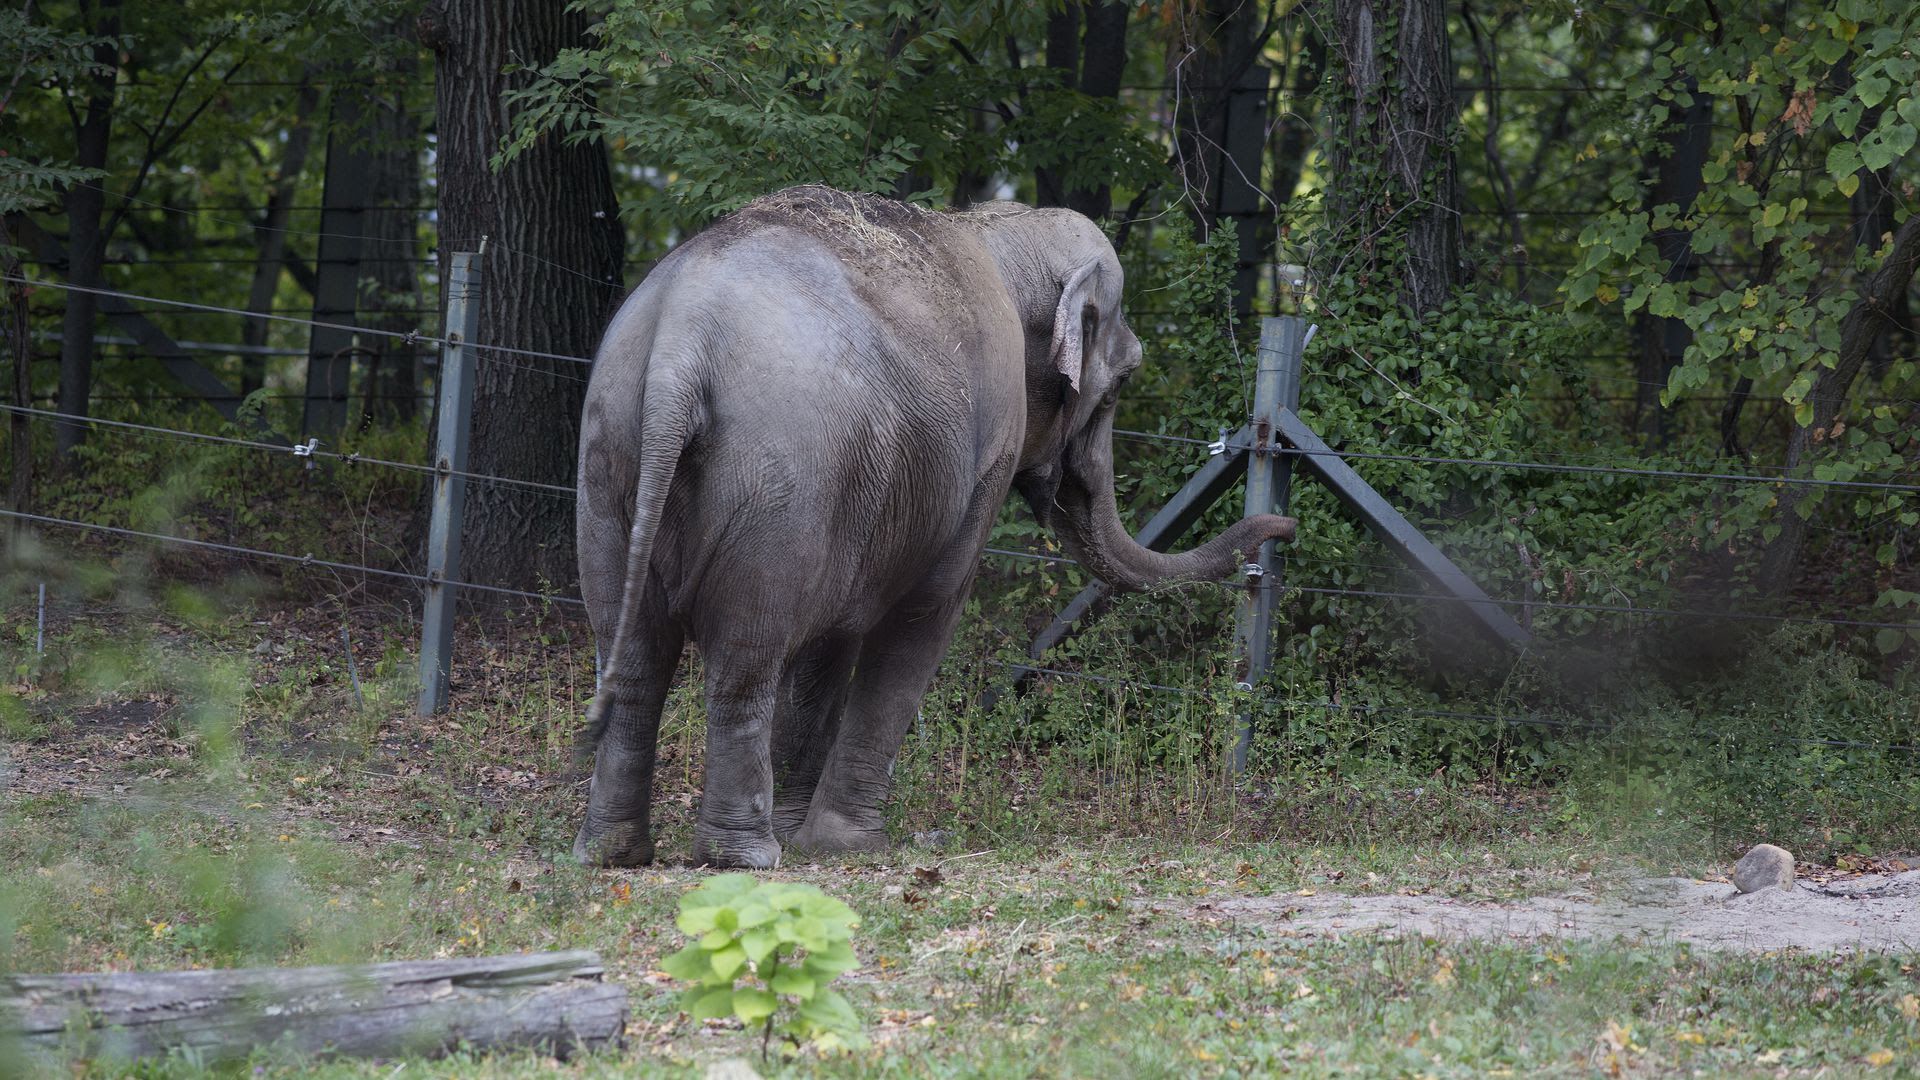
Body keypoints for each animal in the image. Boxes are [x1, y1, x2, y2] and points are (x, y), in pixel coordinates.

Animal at [573, 185, 1296, 868]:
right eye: (1120, 383)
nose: (1280, 529)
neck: (998, 230)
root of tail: (681, 346)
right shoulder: (986, 448)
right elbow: (925, 612)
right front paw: (850, 845)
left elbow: (831, 641)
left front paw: (806, 836)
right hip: (775, 485)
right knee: (744, 658)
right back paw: (741, 856)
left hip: (608, 461)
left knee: (632, 656)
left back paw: (614, 851)